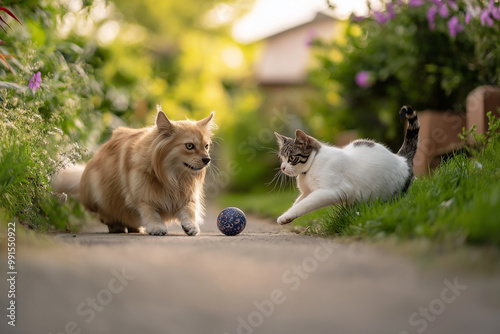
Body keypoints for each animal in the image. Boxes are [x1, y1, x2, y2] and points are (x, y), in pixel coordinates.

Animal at [52, 107, 215, 235]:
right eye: (189, 146)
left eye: (206, 146)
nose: (207, 159)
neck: (172, 177)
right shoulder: (142, 196)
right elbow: (150, 212)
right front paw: (156, 227)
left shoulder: (188, 196)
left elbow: (189, 210)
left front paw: (191, 226)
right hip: (99, 193)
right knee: (107, 217)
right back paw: (117, 227)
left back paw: (135, 228)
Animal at [274, 105, 418, 224]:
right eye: (281, 158)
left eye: (291, 158)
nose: (282, 167)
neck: (311, 166)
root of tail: (401, 159)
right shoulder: (307, 192)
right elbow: (298, 202)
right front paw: (286, 216)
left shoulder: (334, 190)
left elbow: (304, 204)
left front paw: (287, 216)